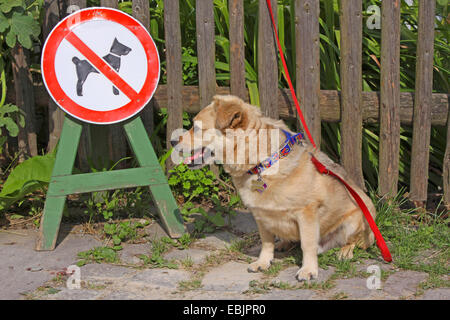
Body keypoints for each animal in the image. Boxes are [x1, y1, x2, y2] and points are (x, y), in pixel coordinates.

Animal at [176, 95, 376, 280]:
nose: (172, 142)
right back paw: (284, 243)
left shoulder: (307, 213)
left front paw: (308, 270)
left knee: (354, 242)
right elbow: (266, 243)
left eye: (197, 128)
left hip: (354, 222)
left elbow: (307, 245)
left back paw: (345, 252)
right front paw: (263, 262)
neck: (261, 163)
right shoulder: (261, 216)